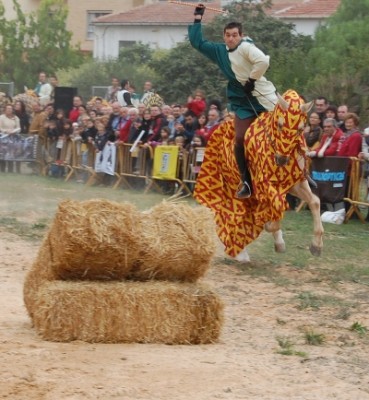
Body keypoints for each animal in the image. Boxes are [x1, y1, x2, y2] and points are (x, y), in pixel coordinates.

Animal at [193, 89, 322, 260]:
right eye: (280, 125)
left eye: (301, 129)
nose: (281, 160)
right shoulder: (265, 184)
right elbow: (278, 208)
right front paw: (268, 224)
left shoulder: (295, 183)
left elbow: (314, 202)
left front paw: (316, 246)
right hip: (231, 185)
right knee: (232, 214)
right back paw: (241, 253)